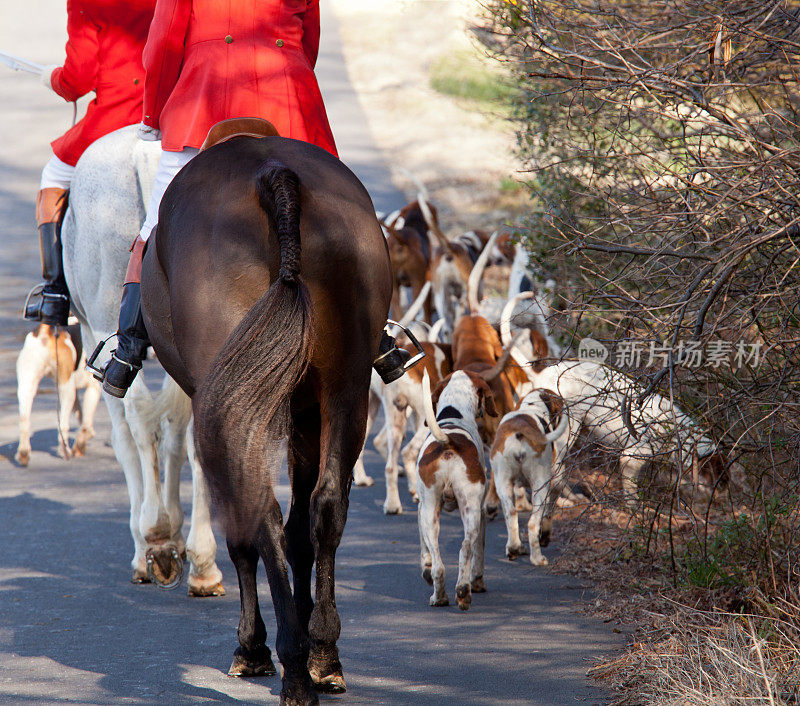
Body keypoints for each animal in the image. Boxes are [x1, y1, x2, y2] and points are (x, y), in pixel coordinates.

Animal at [60, 126, 223, 592]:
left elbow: (129, 441)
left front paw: (152, 542)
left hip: (102, 328)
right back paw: (203, 563)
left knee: (133, 420)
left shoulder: (98, 341)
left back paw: (155, 537)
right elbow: (175, 437)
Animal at [144, 135, 394, 700]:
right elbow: (304, 528)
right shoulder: (306, 412)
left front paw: (253, 647)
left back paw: (291, 666)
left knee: (259, 511)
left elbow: (246, 530)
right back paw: (321, 653)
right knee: (326, 508)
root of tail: (271, 173)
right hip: (346, 387)